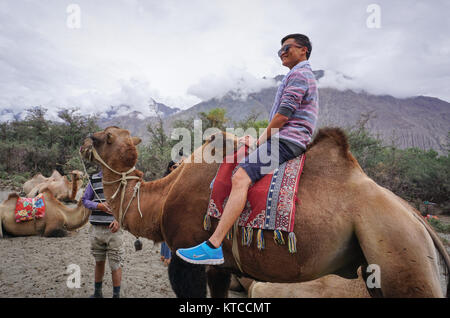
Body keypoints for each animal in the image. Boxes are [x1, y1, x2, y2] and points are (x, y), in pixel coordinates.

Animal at [79, 126, 448, 298]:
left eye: (104, 137)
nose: (83, 142)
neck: (165, 195)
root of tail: (417, 218)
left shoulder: (185, 256)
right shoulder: (220, 267)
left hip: (401, 250)